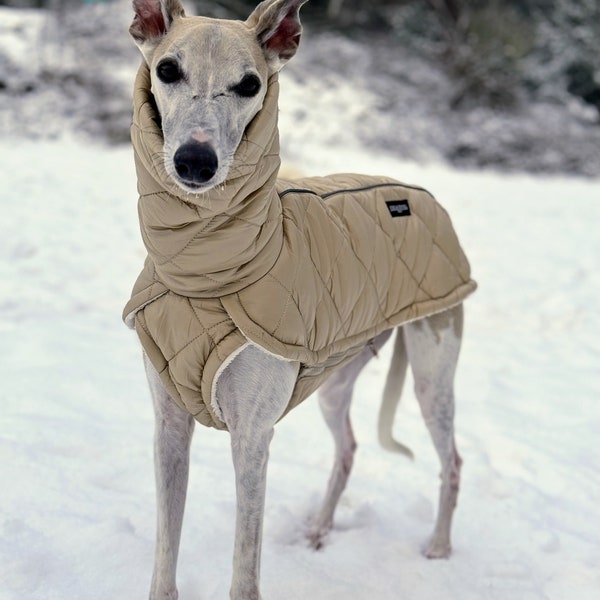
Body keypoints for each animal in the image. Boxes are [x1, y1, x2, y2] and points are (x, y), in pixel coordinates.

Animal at [124, 1, 476, 600]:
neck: (203, 270)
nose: (196, 162)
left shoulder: (252, 439)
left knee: (451, 458)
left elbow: (244, 574)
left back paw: (439, 547)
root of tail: (424, 194)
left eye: (250, 84)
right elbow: (164, 559)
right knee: (349, 447)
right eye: (167, 70)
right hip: (336, 379)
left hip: (433, 372)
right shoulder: (169, 428)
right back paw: (319, 528)